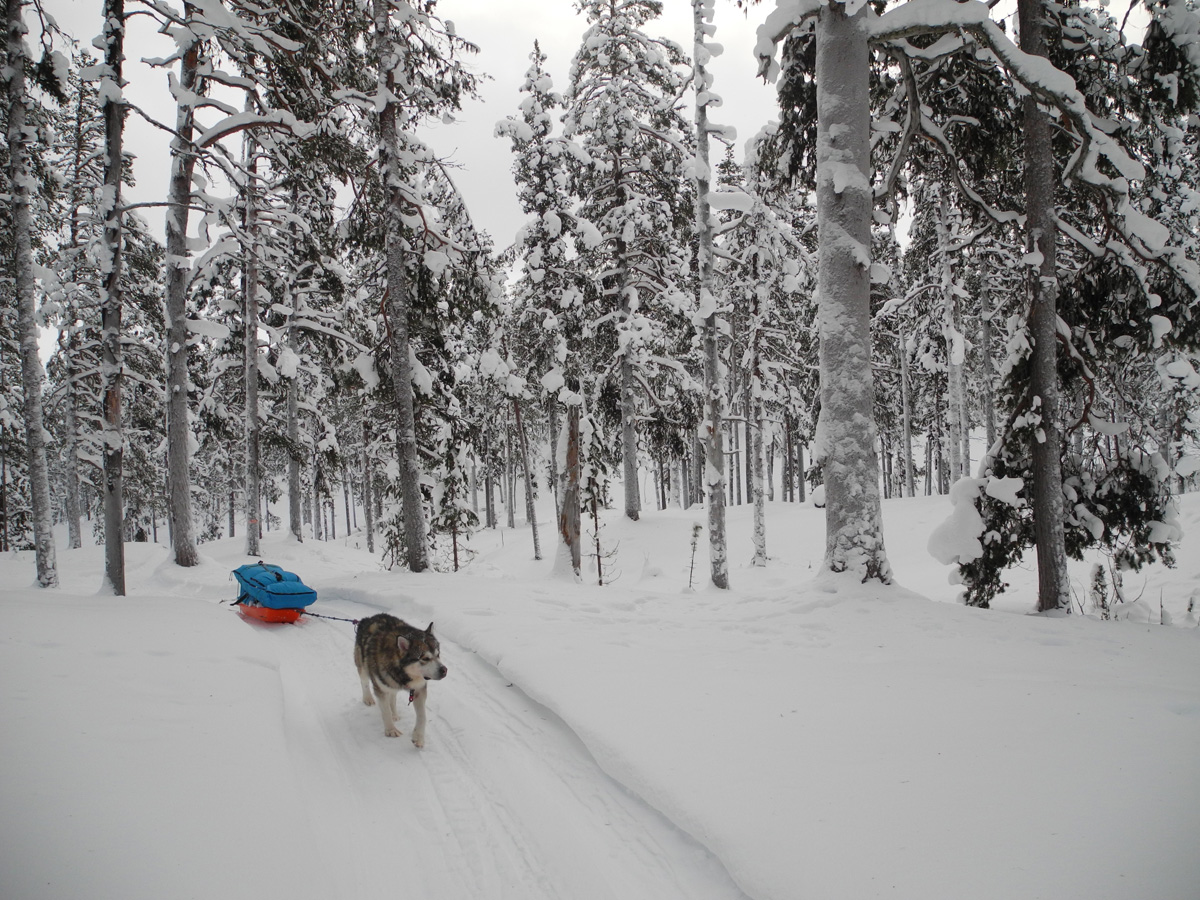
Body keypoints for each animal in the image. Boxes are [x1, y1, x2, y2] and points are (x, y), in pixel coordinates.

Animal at [357, 614, 451, 748]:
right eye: (425, 658)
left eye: (438, 654)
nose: (444, 670)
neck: (402, 673)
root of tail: (369, 618)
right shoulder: (380, 689)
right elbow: (385, 712)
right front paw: (391, 730)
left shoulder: (419, 689)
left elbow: (422, 716)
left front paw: (418, 737)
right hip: (363, 667)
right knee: (364, 683)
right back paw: (368, 699)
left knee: (392, 696)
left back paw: (394, 714)